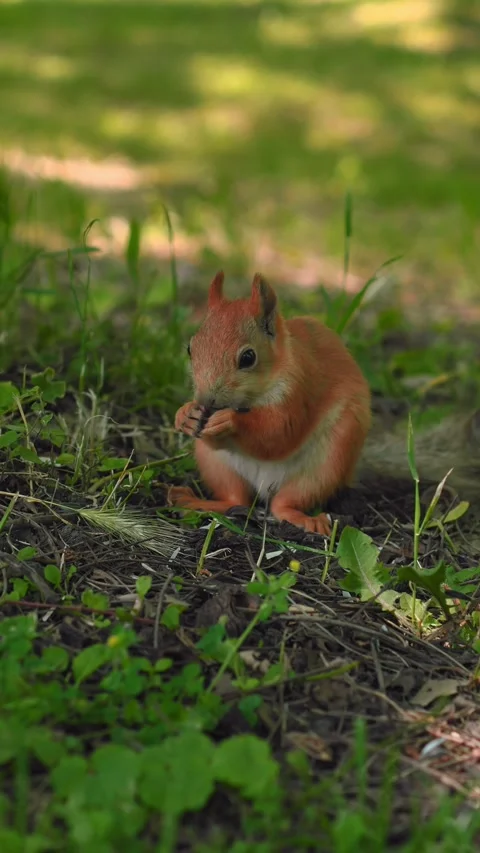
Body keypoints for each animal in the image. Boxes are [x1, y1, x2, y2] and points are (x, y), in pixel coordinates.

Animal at [168, 272, 480, 535]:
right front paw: (185, 415)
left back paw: (305, 520)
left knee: (284, 503)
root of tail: (263, 486)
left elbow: (278, 434)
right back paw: (194, 500)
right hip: (216, 465)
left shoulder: (300, 388)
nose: (206, 400)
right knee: (235, 498)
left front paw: (228, 421)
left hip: (327, 463)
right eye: (190, 348)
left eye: (248, 357)